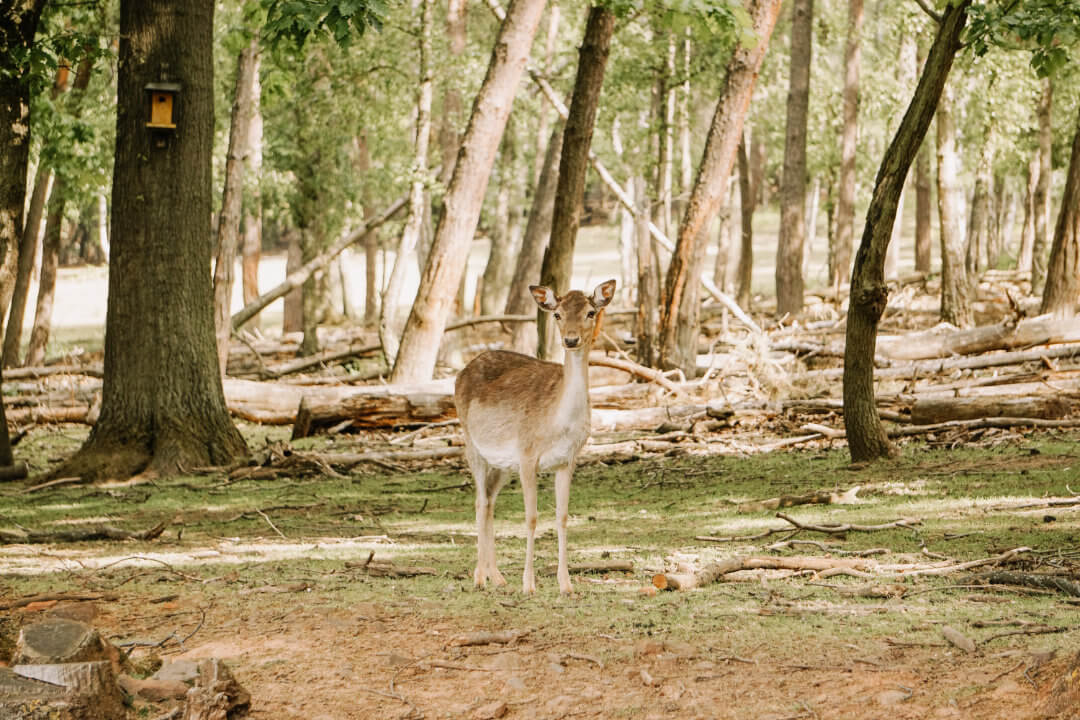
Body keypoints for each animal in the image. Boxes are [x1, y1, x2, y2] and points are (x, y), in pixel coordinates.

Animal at [451, 278, 617, 595]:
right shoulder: (528, 455)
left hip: (502, 464)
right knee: (479, 501)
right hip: (471, 443)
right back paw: (479, 577)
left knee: (490, 501)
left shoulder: (568, 460)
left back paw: (497, 576)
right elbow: (531, 517)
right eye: (557, 314)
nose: (571, 340)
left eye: (590, 312)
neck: (557, 424)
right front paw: (529, 584)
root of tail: (461, 371)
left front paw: (566, 584)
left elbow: (562, 517)